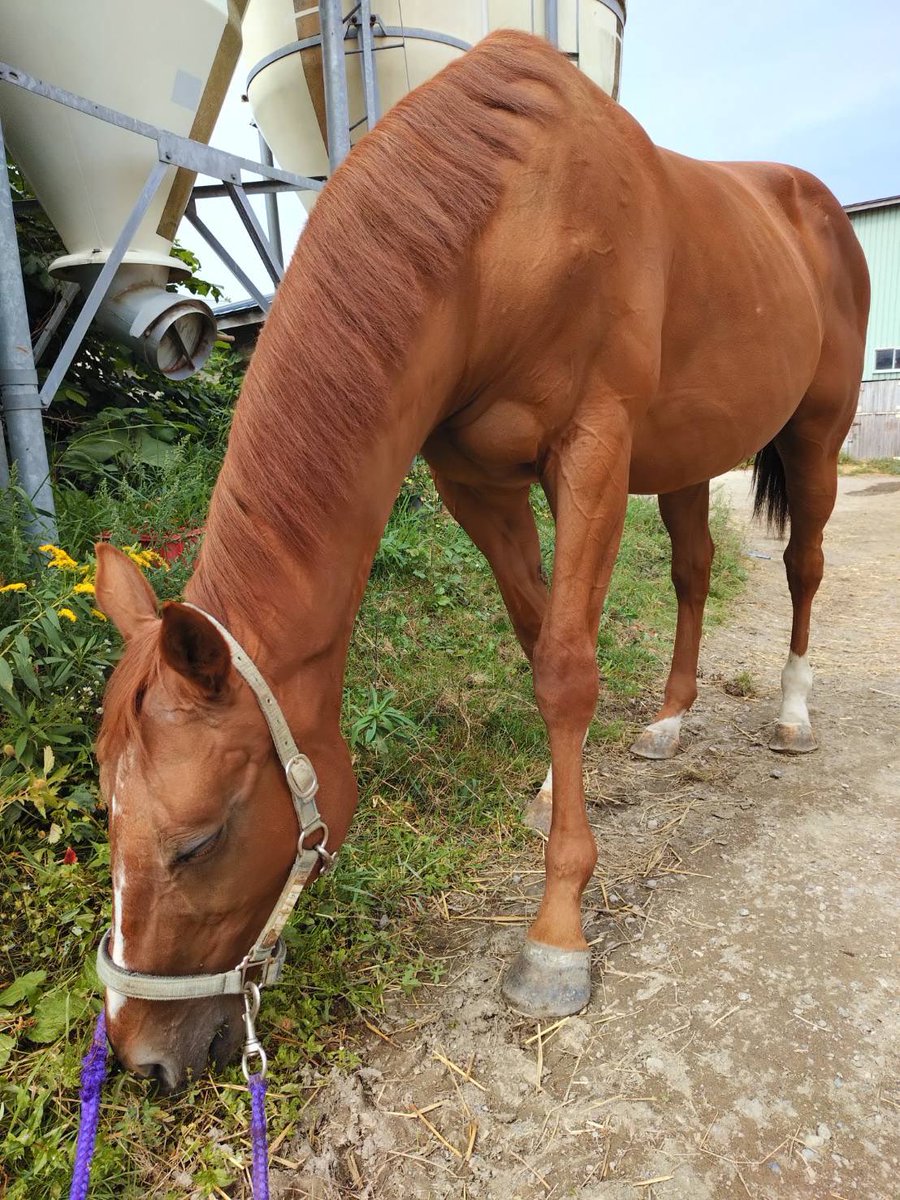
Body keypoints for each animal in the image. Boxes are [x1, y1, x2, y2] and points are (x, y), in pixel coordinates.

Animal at [92, 30, 869, 1090]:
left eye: (200, 840)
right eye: (105, 812)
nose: (139, 1056)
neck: (503, 230)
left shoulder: (592, 449)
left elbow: (569, 669)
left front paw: (556, 936)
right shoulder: (477, 482)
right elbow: (540, 638)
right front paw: (550, 795)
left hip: (816, 437)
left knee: (804, 569)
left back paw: (792, 715)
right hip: (686, 454)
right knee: (694, 571)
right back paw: (669, 722)